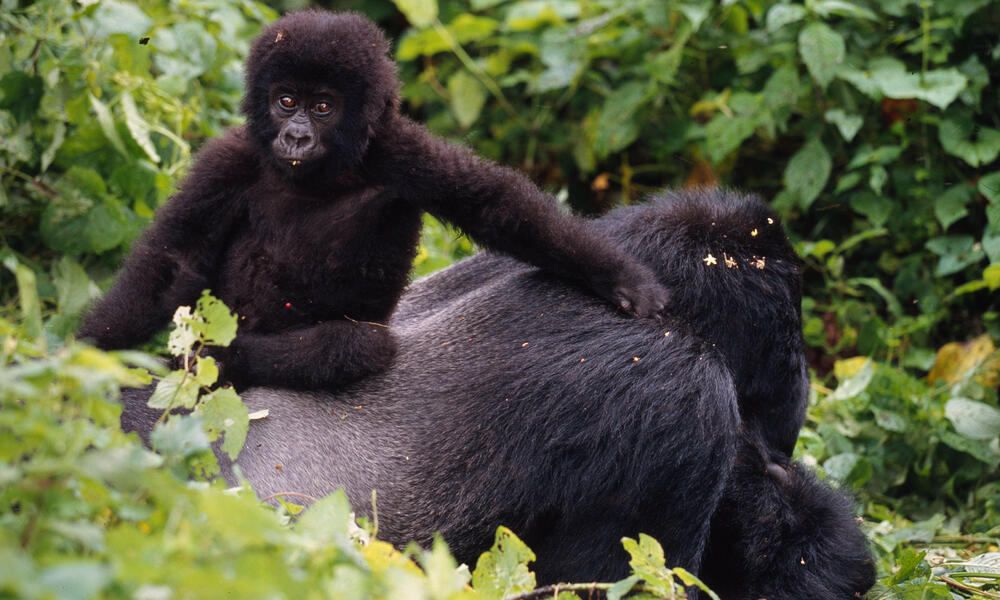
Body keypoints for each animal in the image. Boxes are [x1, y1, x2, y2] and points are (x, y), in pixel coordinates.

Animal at [78, 14, 664, 392]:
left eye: (322, 106)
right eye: (286, 100)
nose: (295, 136)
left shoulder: (399, 149)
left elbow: (496, 206)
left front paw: (618, 277)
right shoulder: (230, 159)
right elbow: (172, 264)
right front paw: (86, 358)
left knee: (358, 347)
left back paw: (230, 359)